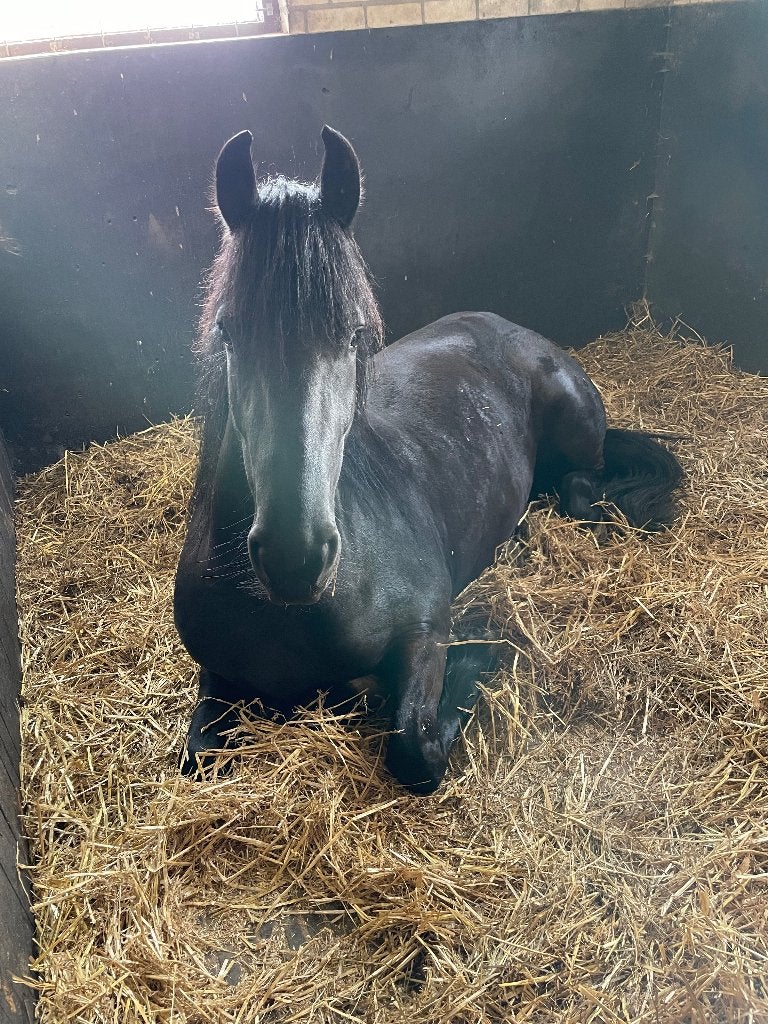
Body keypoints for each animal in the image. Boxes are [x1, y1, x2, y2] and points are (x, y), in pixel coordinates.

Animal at [174, 126, 683, 794]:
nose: (295, 557)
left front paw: (481, 652)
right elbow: (197, 757)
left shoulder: (424, 627)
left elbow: (414, 747)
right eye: (229, 332)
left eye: (356, 336)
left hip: (574, 428)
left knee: (579, 482)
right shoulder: (216, 674)